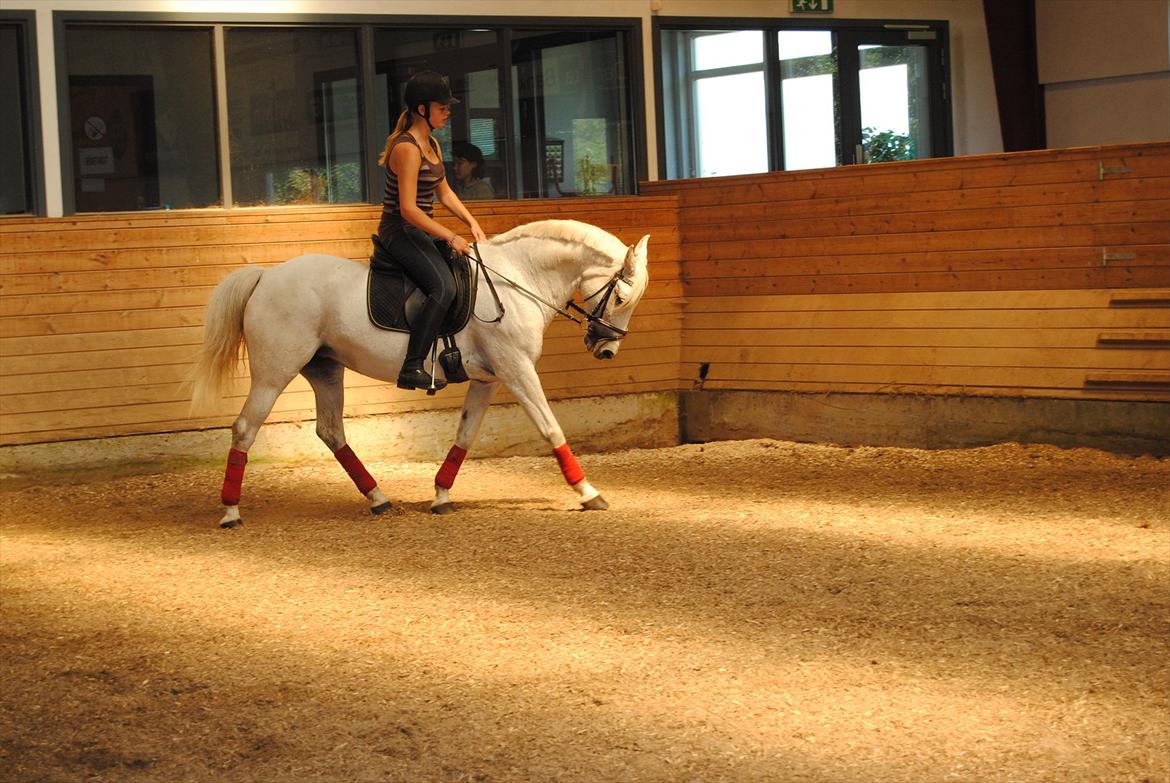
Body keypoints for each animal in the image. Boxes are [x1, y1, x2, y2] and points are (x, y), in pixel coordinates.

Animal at [189, 219, 651, 528]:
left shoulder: (489, 378)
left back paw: (378, 498)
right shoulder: (517, 369)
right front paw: (589, 493)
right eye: (621, 296)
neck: (518, 280)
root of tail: (265, 276)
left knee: (331, 431)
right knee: (245, 428)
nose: (606, 349)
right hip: (275, 371)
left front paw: (441, 495)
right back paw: (230, 511)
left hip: (325, 369)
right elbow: (550, 427)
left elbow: (465, 435)